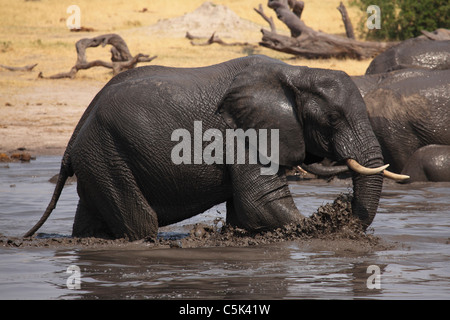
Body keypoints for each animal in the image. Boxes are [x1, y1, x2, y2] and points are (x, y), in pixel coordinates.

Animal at [23, 54, 404, 240]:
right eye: (333, 118)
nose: (344, 216)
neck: (295, 73)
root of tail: (71, 140)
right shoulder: (243, 133)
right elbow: (261, 201)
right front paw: (322, 229)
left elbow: (247, 210)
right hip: (108, 155)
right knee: (140, 223)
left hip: (99, 159)